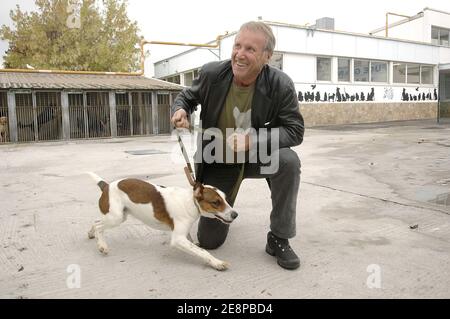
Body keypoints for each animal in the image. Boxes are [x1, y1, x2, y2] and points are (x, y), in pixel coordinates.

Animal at [85, 171, 237, 272]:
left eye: (225, 199)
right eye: (216, 203)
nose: (235, 214)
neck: (190, 202)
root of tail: (107, 186)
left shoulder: (182, 233)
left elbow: (193, 244)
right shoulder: (177, 239)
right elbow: (202, 252)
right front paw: (217, 263)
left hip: (118, 215)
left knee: (96, 222)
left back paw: (92, 234)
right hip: (116, 217)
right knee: (99, 226)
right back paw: (102, 245)